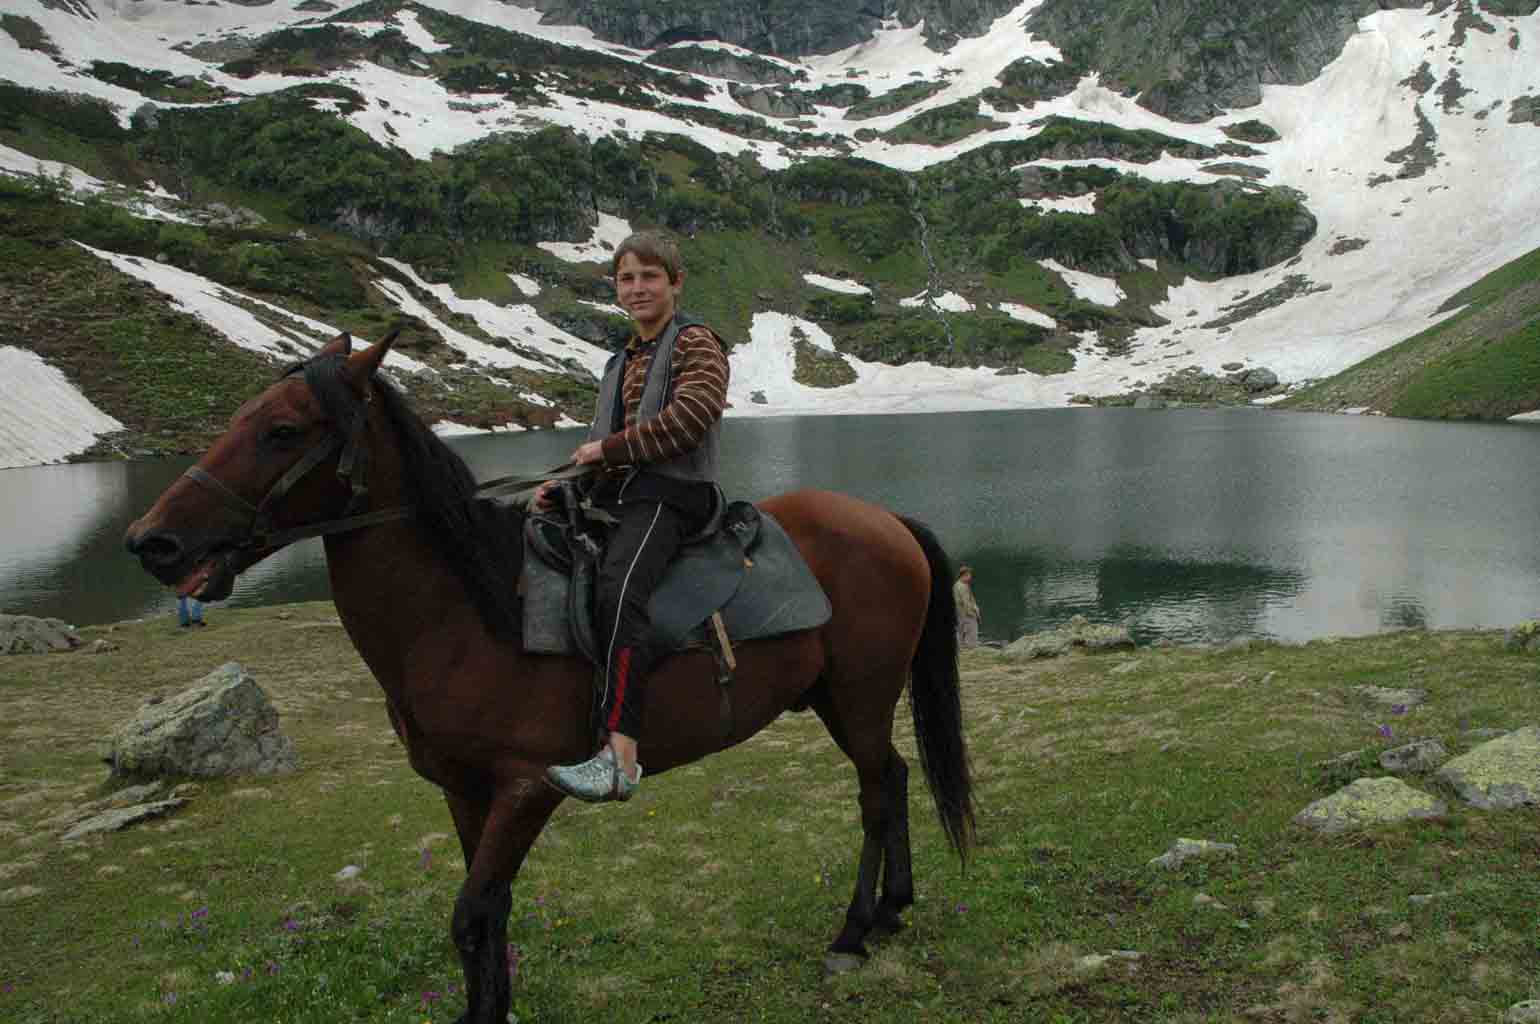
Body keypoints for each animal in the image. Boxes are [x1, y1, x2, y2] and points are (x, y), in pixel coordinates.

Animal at [124, 331, 975, 1024]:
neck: (469, 613)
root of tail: (888, 521)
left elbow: (471, 915)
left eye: (282, 431)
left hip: (861, 697)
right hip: (837, 700)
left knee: (876, 793)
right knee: (895, 777)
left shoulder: (528, 786)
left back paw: (854, 932)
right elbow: (488, 915)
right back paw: (892, 910)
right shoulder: (465, 791)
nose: (150, 541)